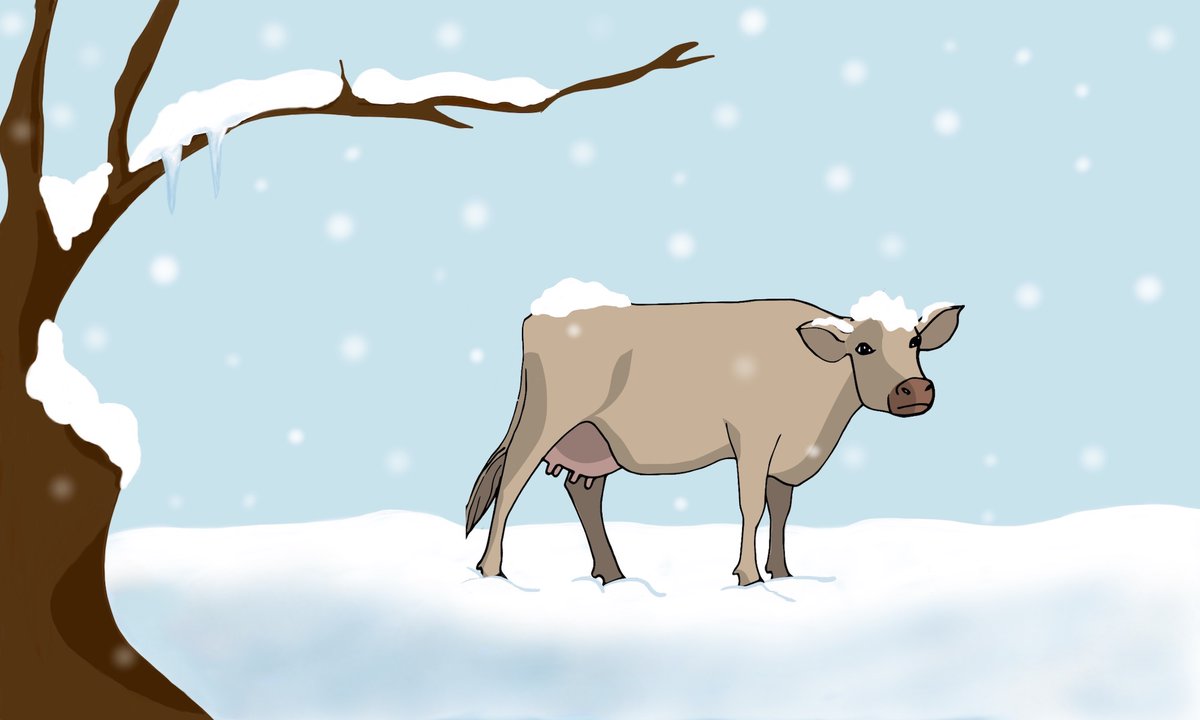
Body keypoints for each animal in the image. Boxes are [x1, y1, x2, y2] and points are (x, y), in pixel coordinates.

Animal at [465, 282, 963, 586]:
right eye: (863, 347)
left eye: (915, 341)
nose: (914, 388)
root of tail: (541, 316)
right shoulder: (753, 438)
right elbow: (752, 506)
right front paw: (749, 577)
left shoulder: (784, 458)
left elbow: (781, 510)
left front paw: (782, 573)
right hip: (545, 419)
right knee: (511, 482)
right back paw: (491, 571)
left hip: (593, 441)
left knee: (583, 492)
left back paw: (613, 575)